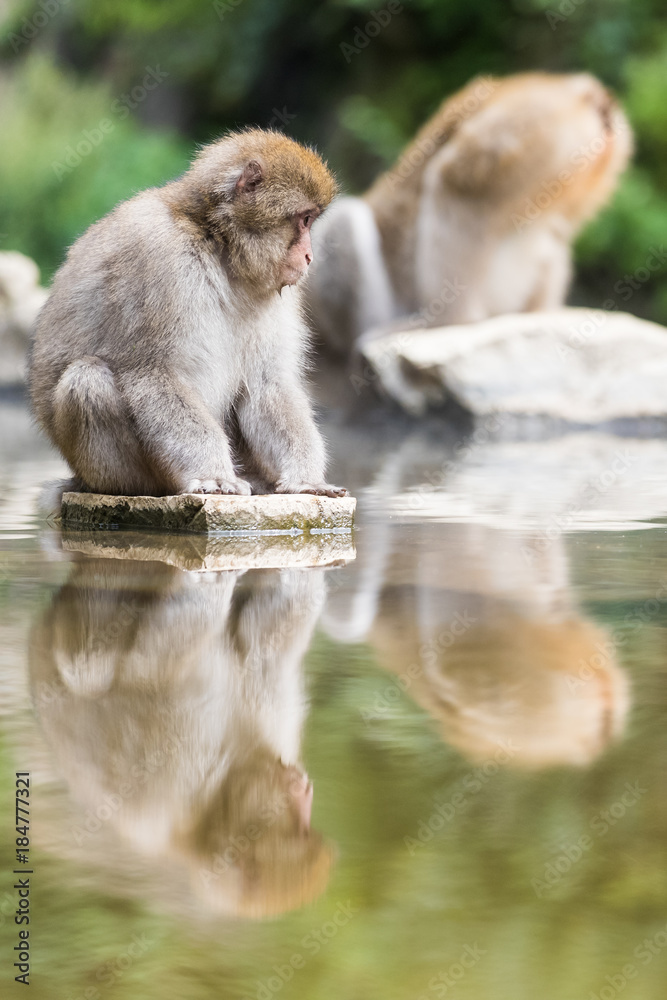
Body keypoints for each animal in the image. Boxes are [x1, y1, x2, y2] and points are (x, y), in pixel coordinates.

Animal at [28, 129, 348, 496]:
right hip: (108, 471)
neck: (217, 244)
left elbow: (268, 383)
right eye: (304, 220)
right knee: (87, 380)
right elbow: (154, 374)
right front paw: (214, 474)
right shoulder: (160, 260)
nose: (309, 256)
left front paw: (306, 480)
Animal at [30, 560, 334, 916]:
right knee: (87, 667)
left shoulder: (265, 696)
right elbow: (150, 663)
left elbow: (274, 624)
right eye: (298, 825)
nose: (304, 789)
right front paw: (211, 586)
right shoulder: (184, 761)